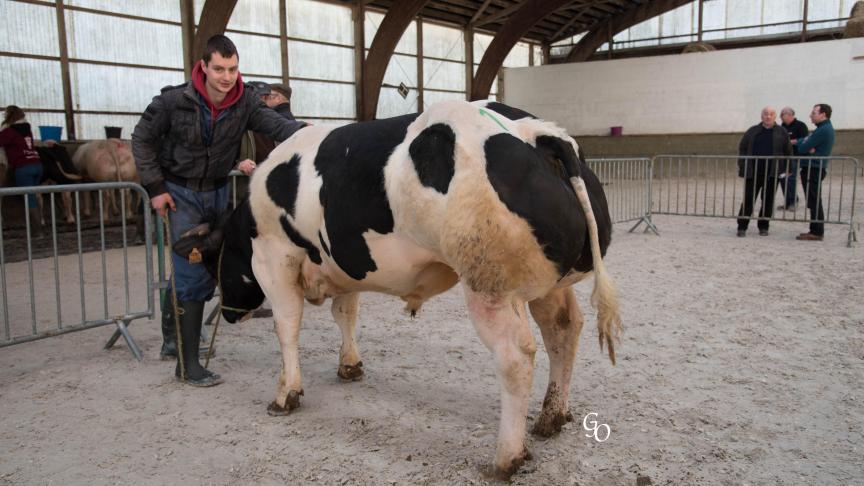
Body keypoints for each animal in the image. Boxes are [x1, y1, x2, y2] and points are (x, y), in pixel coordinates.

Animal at [177, 98, 620, 478]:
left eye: (215, 261)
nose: (229, 315)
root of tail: (536, 132)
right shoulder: (345, 260)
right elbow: (345, 312)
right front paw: (349, 365)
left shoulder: (275, 257)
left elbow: (287, 326)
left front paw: (286, 394)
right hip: (548, 285)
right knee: (563, 330)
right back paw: (552, 416)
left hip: (490, 286)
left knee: (516, 357)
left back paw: (506, 457)